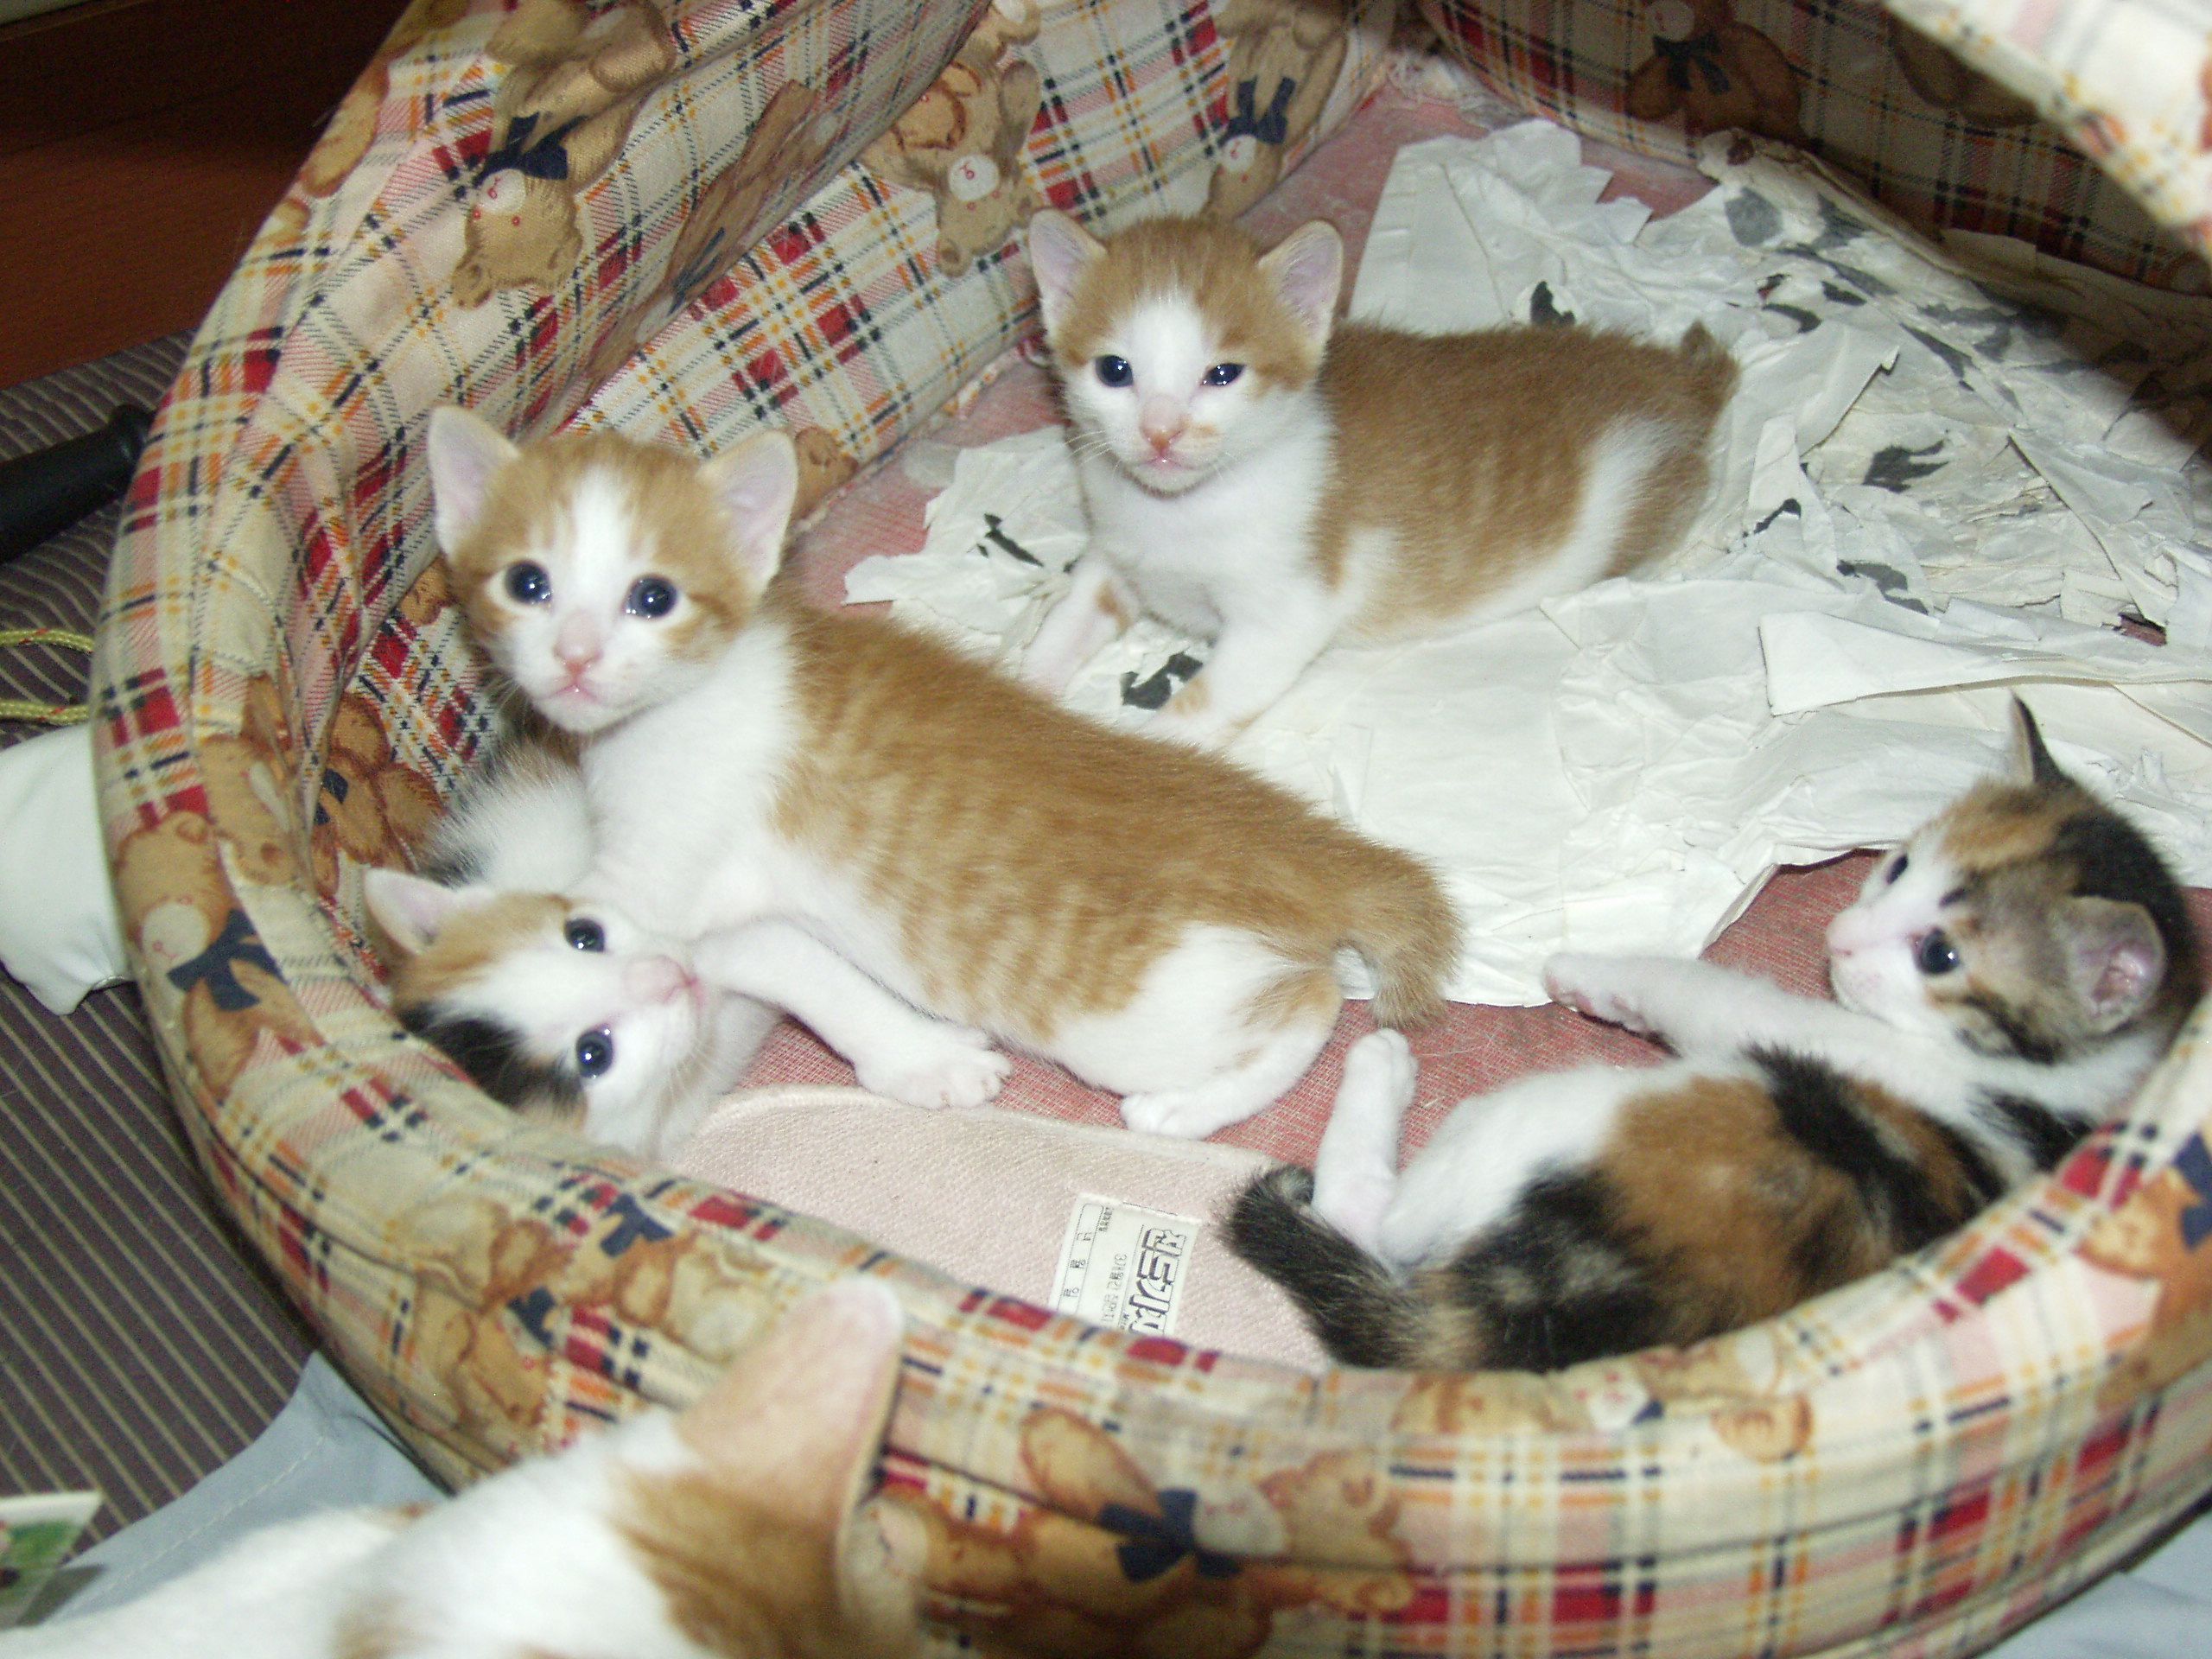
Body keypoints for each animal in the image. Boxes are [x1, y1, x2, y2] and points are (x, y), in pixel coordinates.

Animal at [368, 734, 1013, 1158]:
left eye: (584, 936)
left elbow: (811, 974)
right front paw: (932, 1060)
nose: (666, 976)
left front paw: (929, 1056)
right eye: (592, 1054)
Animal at [423, 406, 1463, 1140]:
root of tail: (1299, 850)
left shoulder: (657, 880)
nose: (576, 658)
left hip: (1141, 1014)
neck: (689, 698)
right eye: (526, 584)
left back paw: (1188, 1108)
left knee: (1307, 1007)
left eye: (653, 598)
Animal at [1020, 209, 1740, 742]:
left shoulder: (1286, 612)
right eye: (1114, 371)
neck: (1179, 510)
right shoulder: (1114, 555)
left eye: (1222, 374)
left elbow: (1201, 705)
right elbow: (1062, 627)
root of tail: (1680, 381)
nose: (1161, 433)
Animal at [1229, 701, 2200, 1371]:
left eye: (1940, 953)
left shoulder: (1799, 1028)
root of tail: (1533, 1328)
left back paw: (1380, 1072)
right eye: (1895, 868)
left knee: (1373, 1219)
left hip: (1537, 1121)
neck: (2050, 1085)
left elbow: (1703, 989)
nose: (1840, 937)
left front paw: (1589, 969)